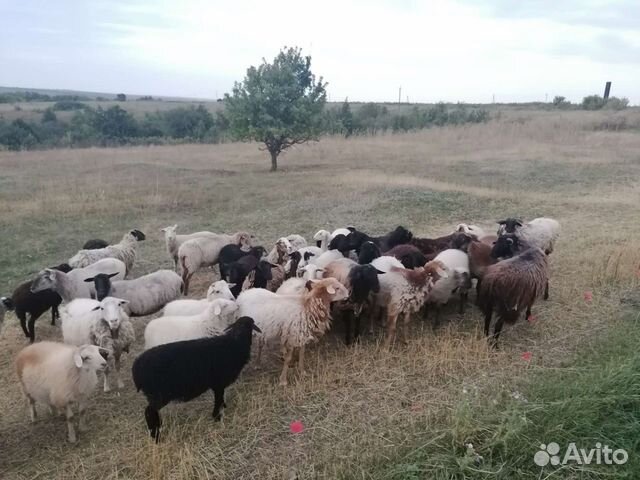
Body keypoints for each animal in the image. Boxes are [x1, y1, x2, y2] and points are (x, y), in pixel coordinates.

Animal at [131, 316, 262, 442]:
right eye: (251, 324)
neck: (235, 343)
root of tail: (136, 367)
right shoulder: (218, 383)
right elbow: (218, 399)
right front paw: (217, 417)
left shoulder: (218, 384)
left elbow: (220, 398)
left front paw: (222, 409)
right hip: (160, 394)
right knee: (149, 411)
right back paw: (156, 436)